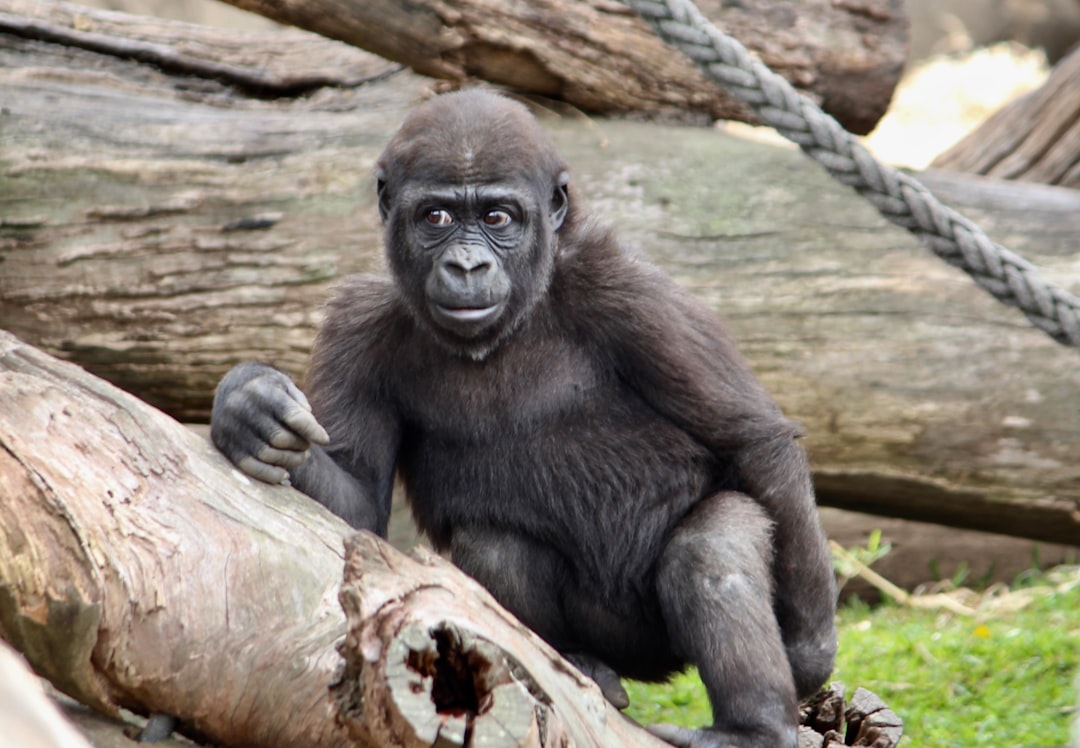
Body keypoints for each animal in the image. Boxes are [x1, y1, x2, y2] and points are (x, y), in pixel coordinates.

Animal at [208, 89, 833, 746]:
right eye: (436, 217)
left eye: (498, 217)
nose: (466, 267)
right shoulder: (355, 323)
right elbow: (358, 506)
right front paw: (247, 407)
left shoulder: (633, 294)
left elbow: (752, 441)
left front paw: (809, 650)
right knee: (496, 547)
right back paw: (580, 665)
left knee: (713, 547)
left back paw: (751, 727)